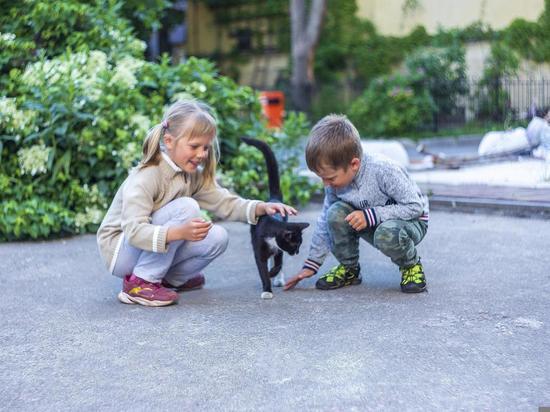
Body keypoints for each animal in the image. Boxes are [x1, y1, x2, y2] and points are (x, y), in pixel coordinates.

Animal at [242, 138, 310, 300]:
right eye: (295, 244)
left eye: (300, 244)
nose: (297, 252)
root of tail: (273, 200)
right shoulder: (259, 247)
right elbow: (262, 268)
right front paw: (267, 288)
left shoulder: (279, 249)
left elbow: (279, 264)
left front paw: (274, 273)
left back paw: (278, 278)